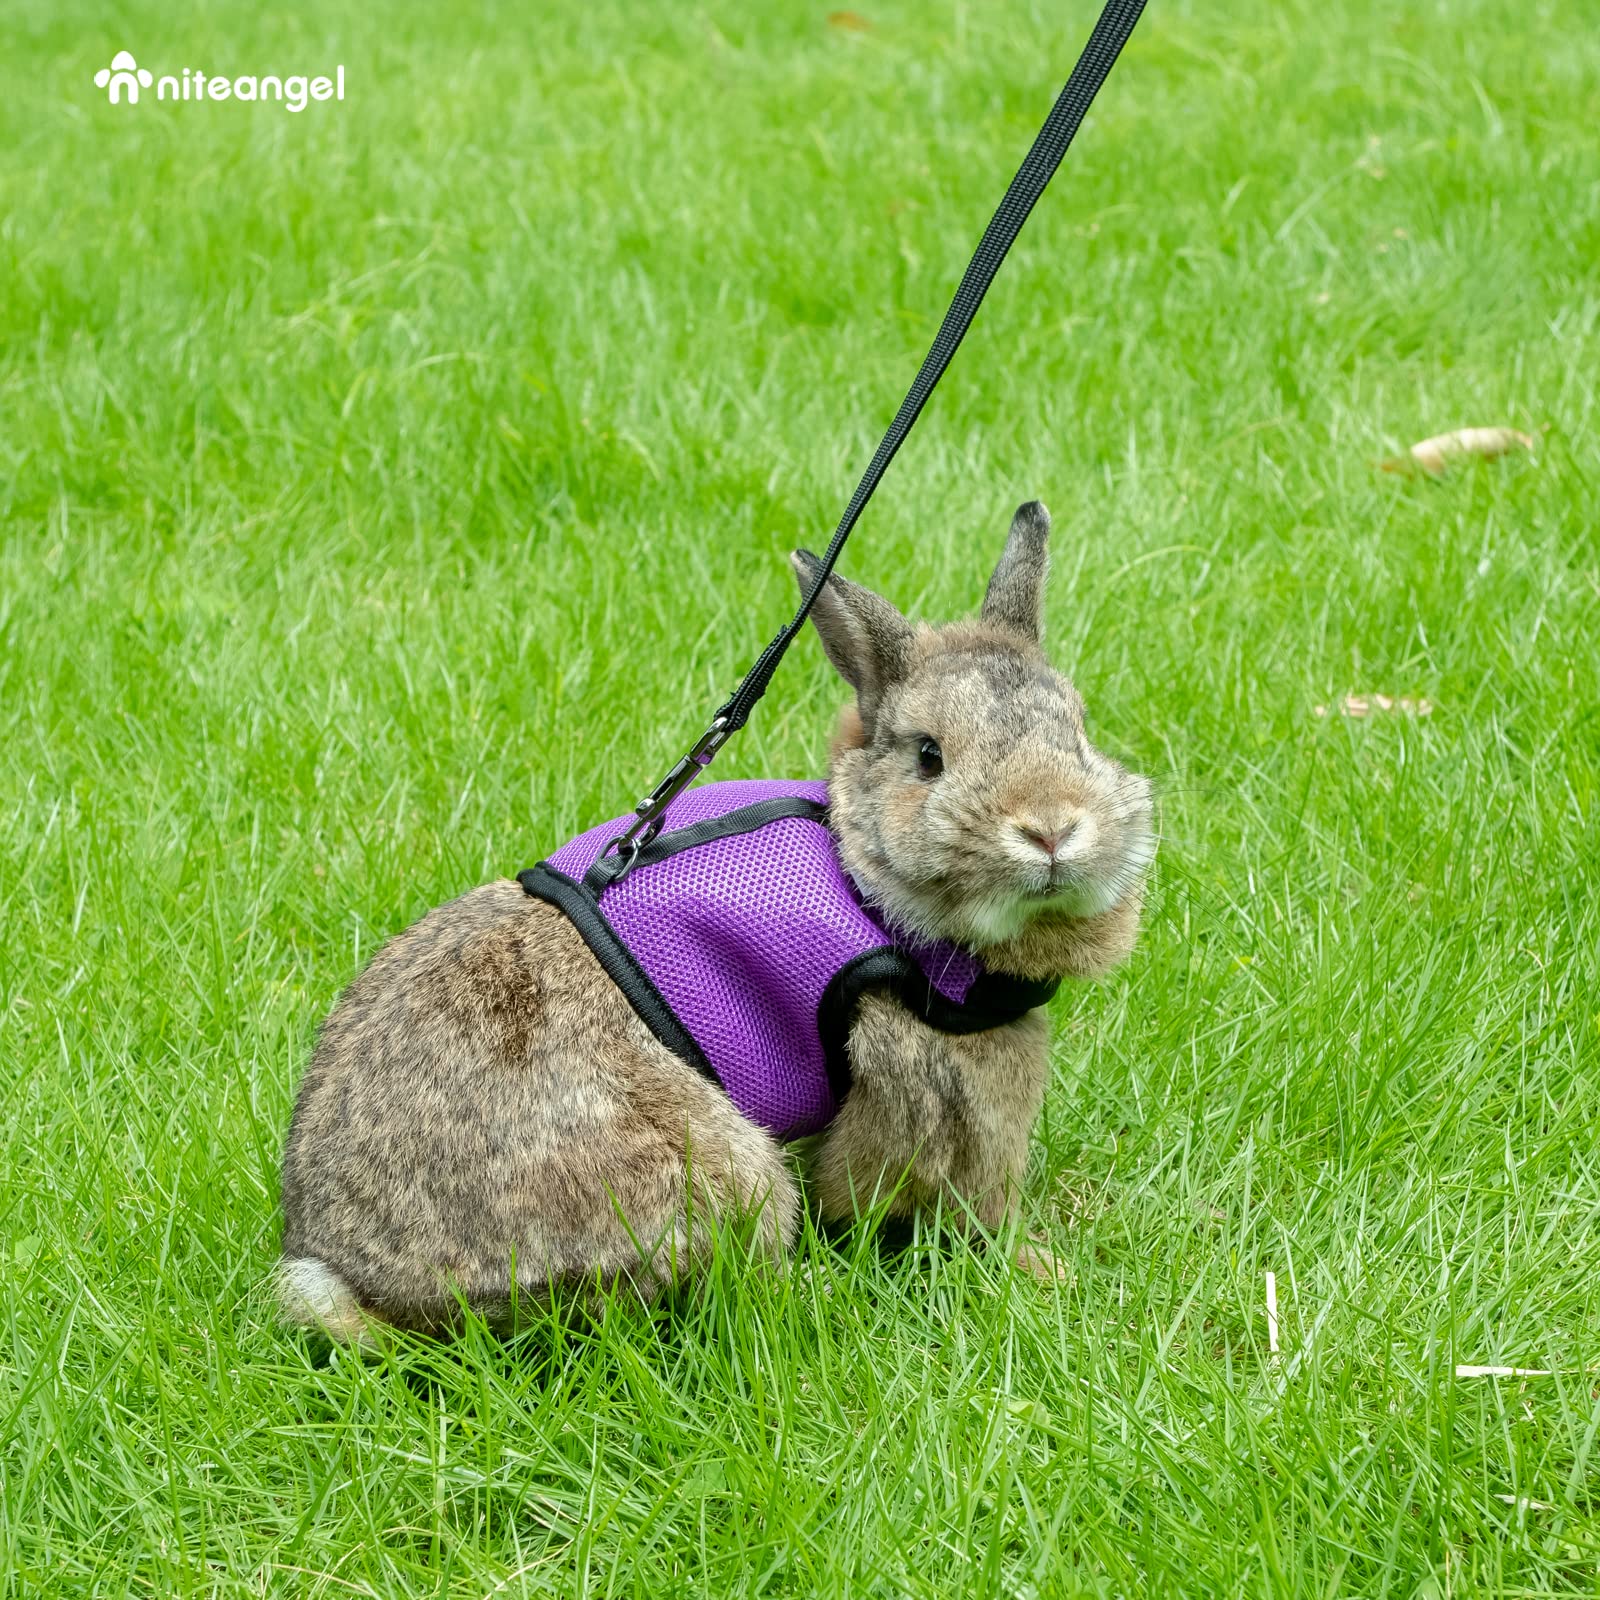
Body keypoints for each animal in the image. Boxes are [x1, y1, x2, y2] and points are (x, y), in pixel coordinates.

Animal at [277, 501, 1155, 1341]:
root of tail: (358, 1280)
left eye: (1079, 731)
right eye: (930, 756)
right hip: (710, 1170)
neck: (864, 881)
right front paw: (1038, 1266)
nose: (1052, 828)